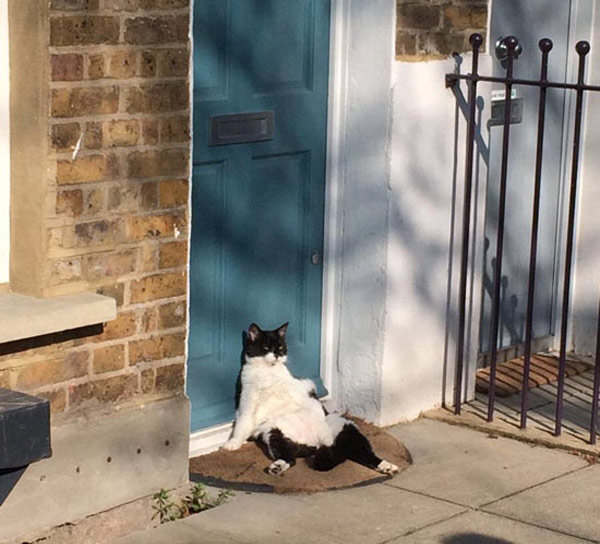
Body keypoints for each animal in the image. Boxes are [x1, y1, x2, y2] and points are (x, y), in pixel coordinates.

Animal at [220, 324, 398, 476]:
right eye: (266, 347)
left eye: (281, 347)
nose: (277, 355)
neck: (267, 373)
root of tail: (314, 446)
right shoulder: (247, 406)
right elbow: (241, 426)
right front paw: (232, 444)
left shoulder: (305, 390)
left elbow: (314, 408)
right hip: (273, 433)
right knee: (290, 459)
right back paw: (276, 467)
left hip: (347, 429)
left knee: (368, 455)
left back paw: (388, 466)